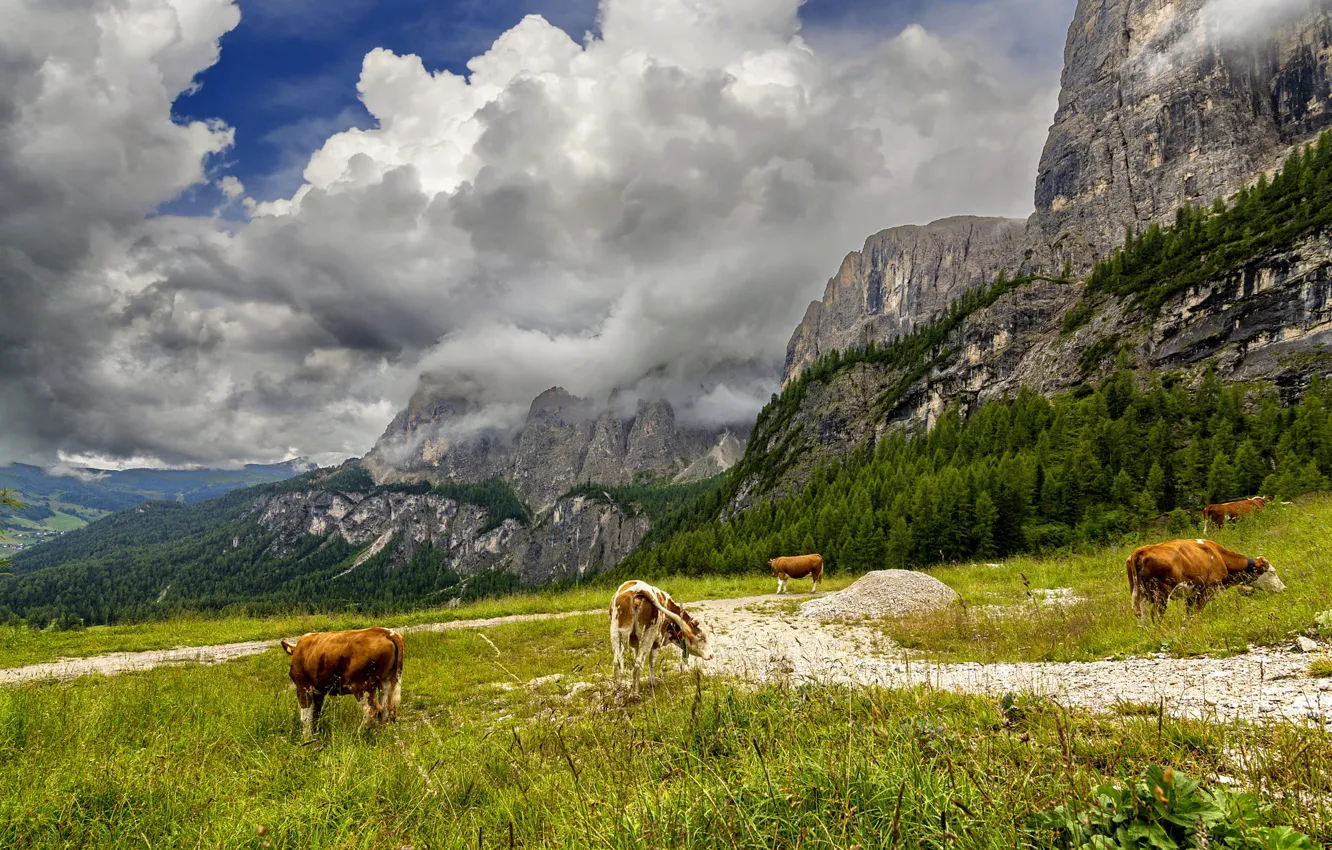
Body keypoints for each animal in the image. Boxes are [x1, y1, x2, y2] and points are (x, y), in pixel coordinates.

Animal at [1129, 543, 1284, 623]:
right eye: (1272, 572)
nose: (1283, 588)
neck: (1219, 556)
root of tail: (1142, 549)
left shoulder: (1191, 594)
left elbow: (1189, 614)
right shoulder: (1206, 591)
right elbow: (1195, 614)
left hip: (1140, 594)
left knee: (1141, 614)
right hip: (1161, 594)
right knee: (1156, 614)